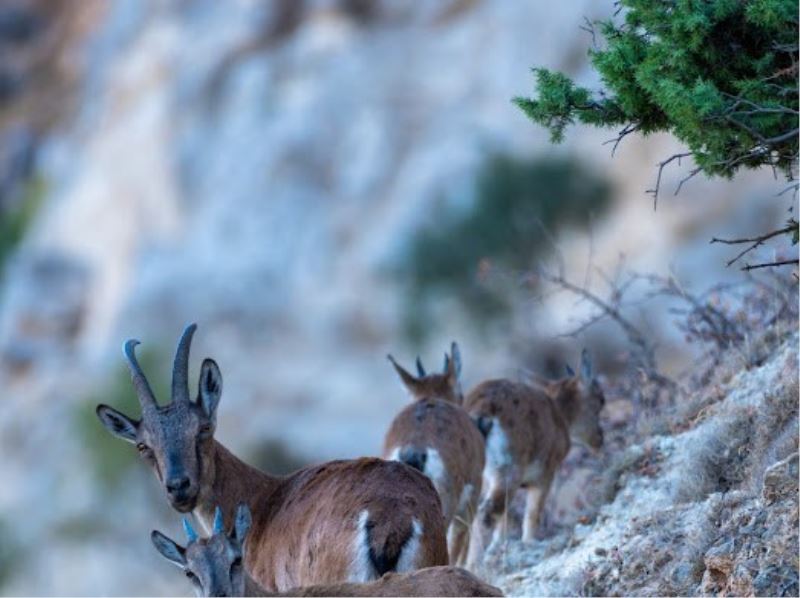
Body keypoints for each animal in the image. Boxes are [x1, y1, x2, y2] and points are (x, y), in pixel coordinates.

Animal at [466, 350, 604, 564]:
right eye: (601, 401)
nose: (599, 438)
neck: (558, 414)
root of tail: (481, 411)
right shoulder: (544, 475)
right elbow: (533, 511)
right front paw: (529, 543)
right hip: (507, 470)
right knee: (487, 512)